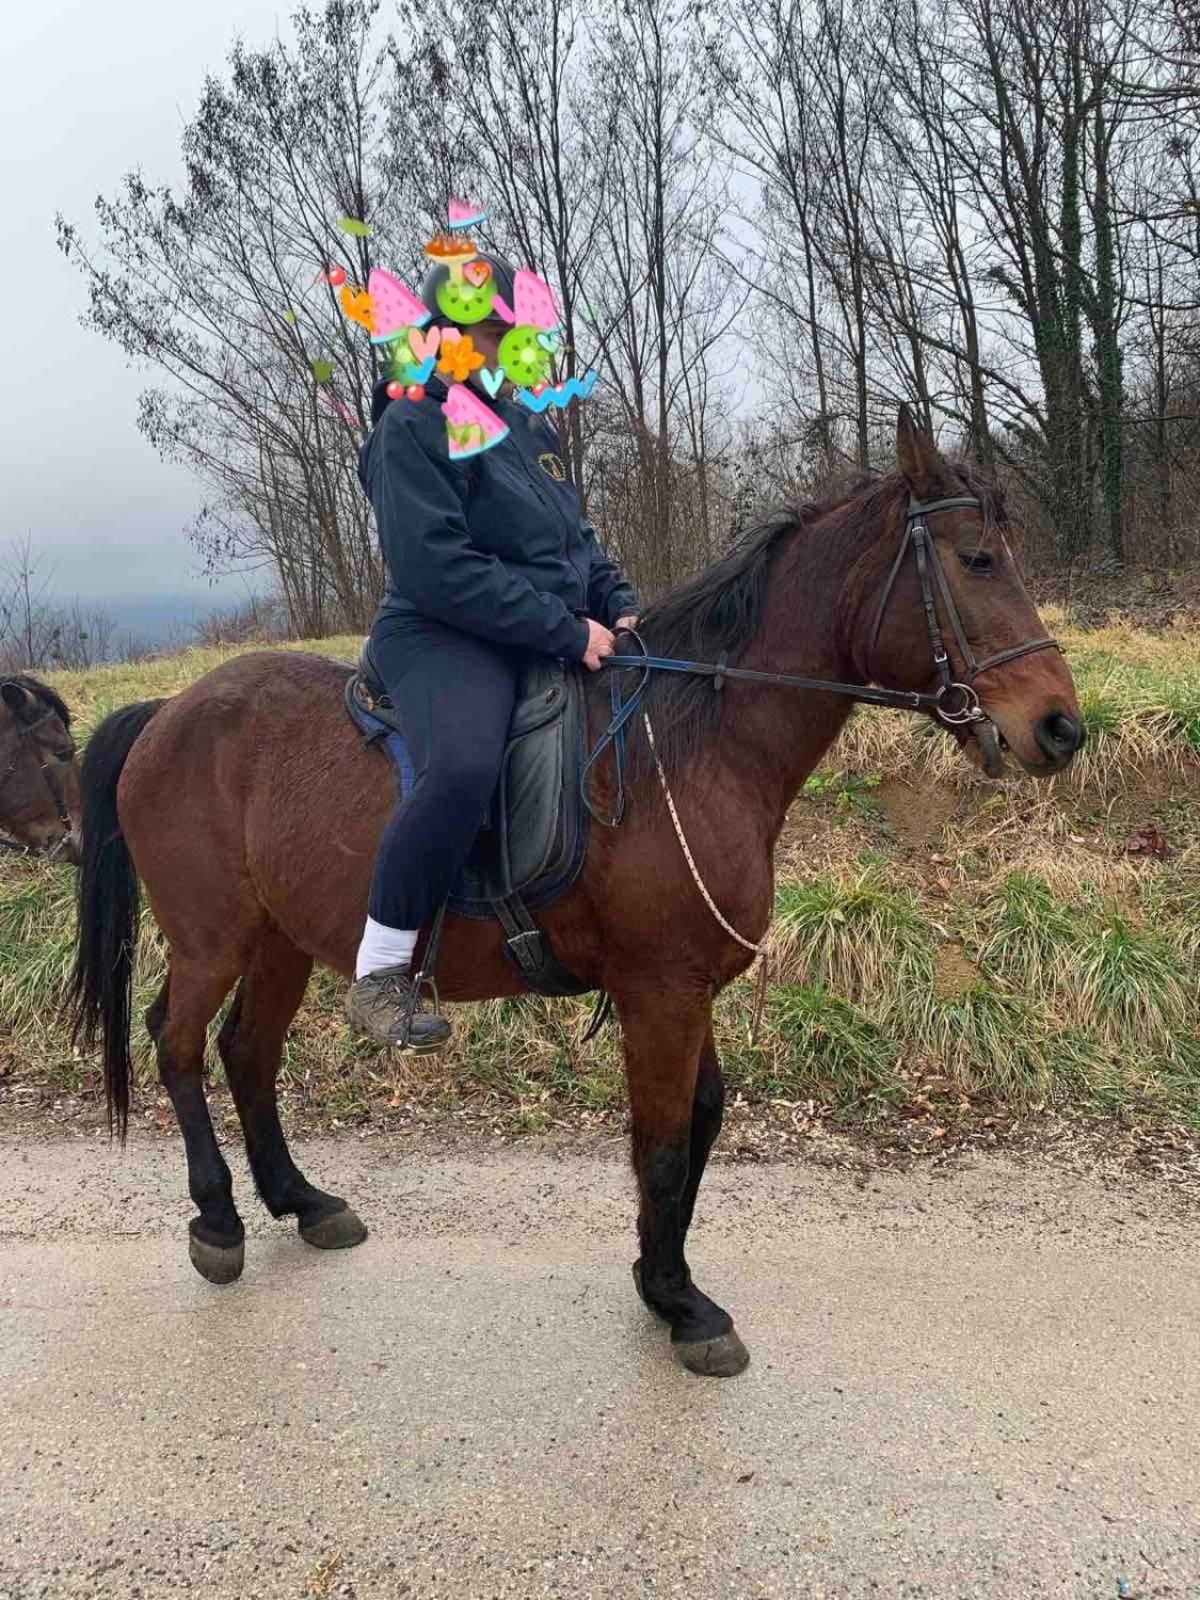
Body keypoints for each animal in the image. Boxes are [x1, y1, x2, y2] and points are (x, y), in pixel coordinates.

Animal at [71, 412, 1083, 1377]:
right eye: (977, 559)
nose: (1060, 728)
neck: (700, 741)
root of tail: (167, 713)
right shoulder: (662, 992)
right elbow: (664, 1142)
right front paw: (685, 1307)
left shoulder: (685, 987)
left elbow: (698, 1123)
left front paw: (656, 1279)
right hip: (212, 938)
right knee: (178, 1044)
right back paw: (218, 1222)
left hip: (280, 939)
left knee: (247, 1053)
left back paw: (300, 1201)